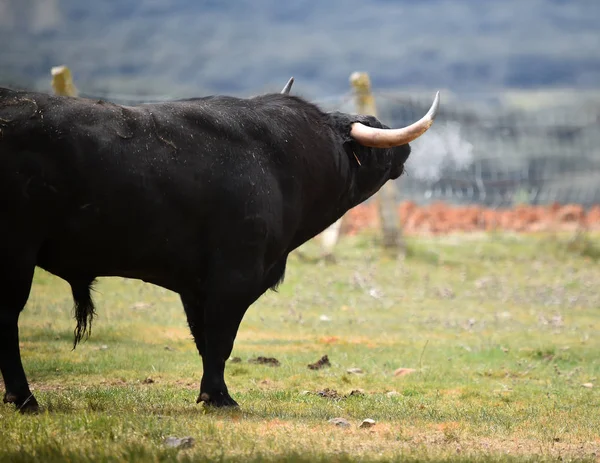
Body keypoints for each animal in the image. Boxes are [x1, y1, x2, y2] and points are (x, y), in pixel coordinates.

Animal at [0, 85, 440, 412]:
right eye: (379, 147)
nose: (405, 150)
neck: (281, 162)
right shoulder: (235, 274)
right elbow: (221, 337)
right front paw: (220, 398)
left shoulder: (196, 286)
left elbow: (204, 338)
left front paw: (212, 393)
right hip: (17, 255)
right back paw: (24, 399)